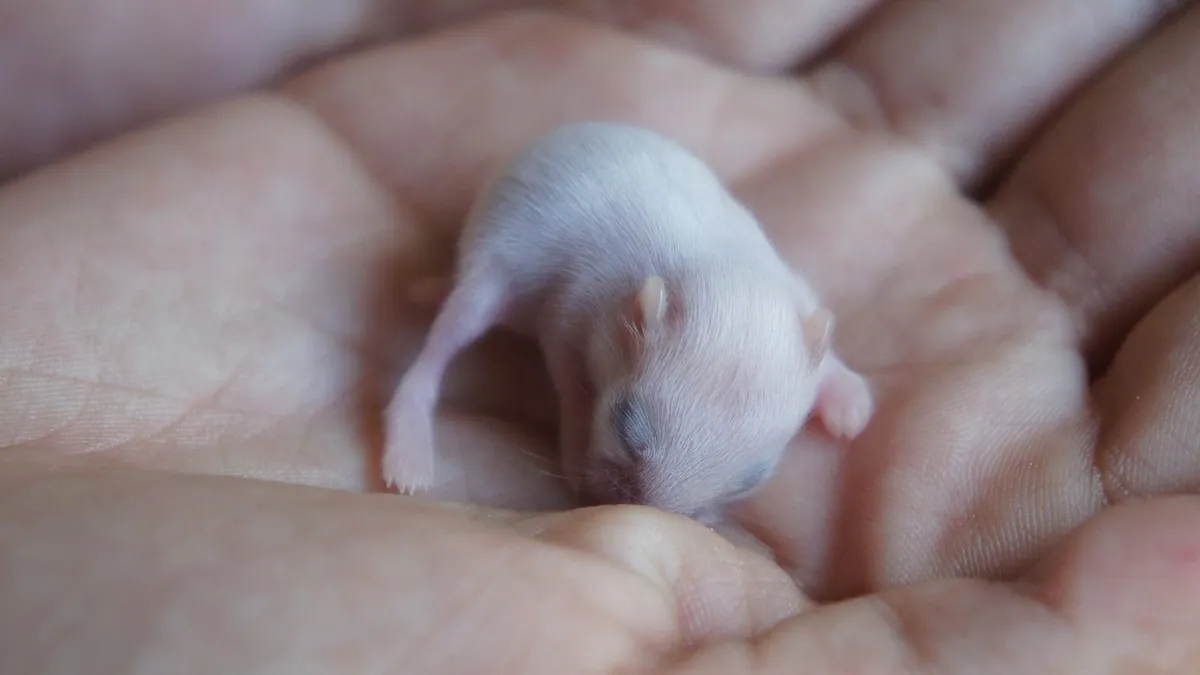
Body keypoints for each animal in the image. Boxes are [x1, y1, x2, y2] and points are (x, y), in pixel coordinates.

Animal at [382, 121, 874, 523]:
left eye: (751, 480)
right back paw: (409, 455)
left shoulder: (797, 289)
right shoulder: (570, 311)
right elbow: (570, 383)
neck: (717, 270)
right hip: (486, 272)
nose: (636, 506)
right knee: (439, 348)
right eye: (625, 427)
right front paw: (575, 455)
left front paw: (850, 406)